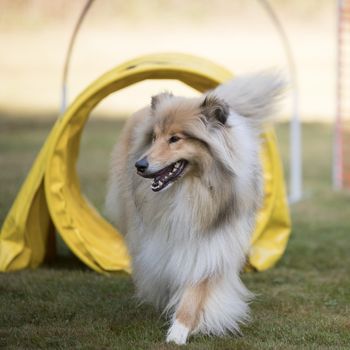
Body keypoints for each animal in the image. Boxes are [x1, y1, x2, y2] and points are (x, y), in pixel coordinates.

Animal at [106, 72, 284, 344]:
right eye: (154, 137)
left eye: (175, 139)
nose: (139, 165)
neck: (189, 189)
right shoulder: (161, 239)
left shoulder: (210, 245)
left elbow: (195, 290)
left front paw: (179, 331)